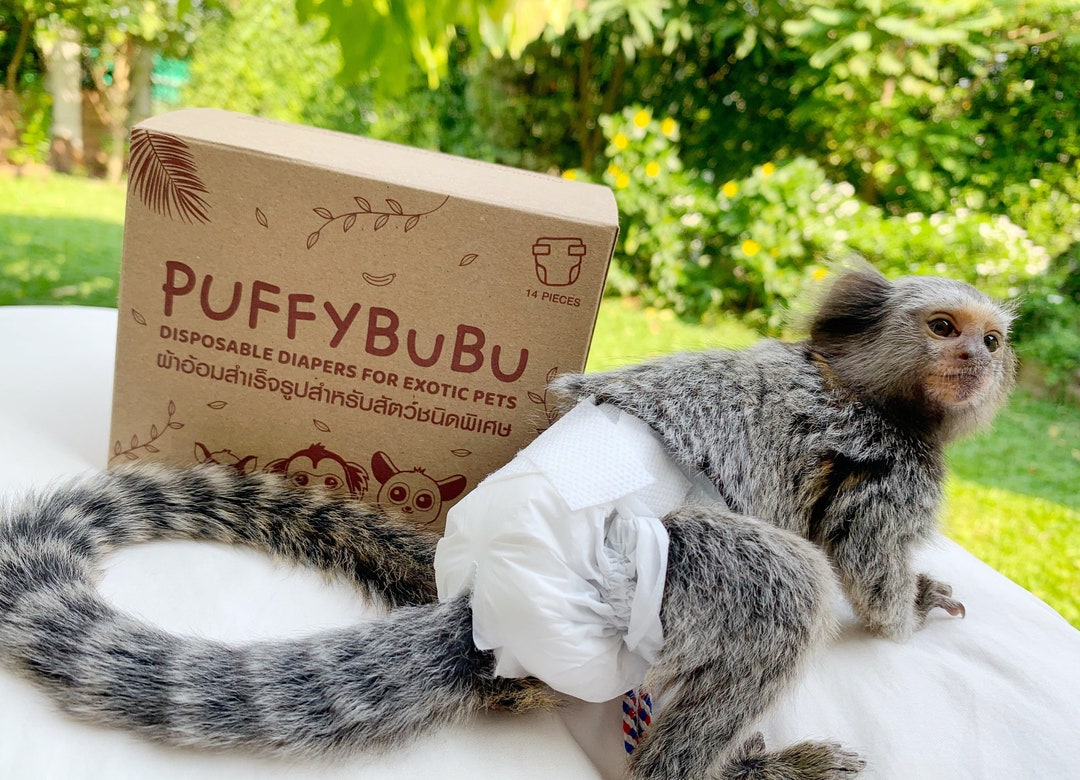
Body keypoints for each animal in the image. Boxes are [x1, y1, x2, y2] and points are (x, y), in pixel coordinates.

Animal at [0, 266, 1015, 778]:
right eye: (943, 327)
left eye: (993, 338)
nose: (976, 356)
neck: (863, 382)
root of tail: (490, 605)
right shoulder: (892, 469)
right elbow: (868, 570)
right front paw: (908, 611)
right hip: (656, 580)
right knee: (783, 589)